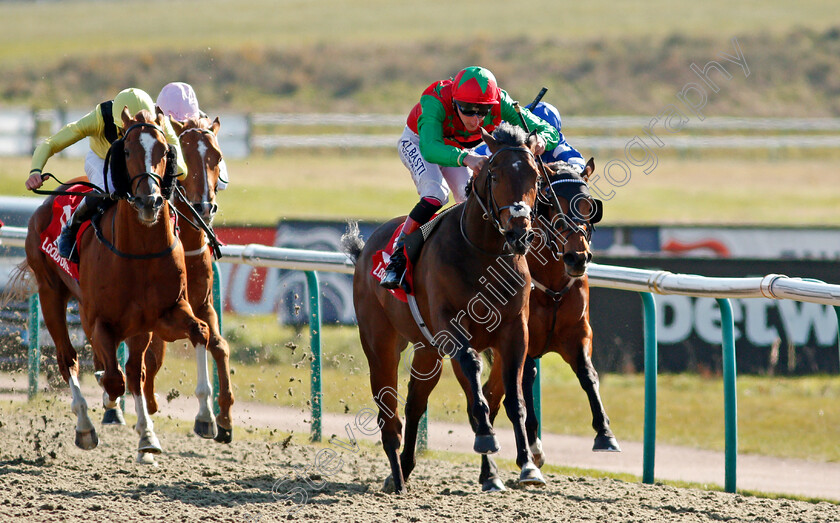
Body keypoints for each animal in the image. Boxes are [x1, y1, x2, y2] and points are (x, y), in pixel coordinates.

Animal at [13, 108, 210, 460]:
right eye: (127, 151)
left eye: (165, 151)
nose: (149, 201)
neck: (139, 252)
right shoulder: (99, 319)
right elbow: (113, 378)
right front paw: (106, 400)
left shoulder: (163, 314)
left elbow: (198, 332)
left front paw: (203, 419)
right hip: (51, 292)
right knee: (68, 358)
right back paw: (85, 426)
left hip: (131, 323)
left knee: (132, 371)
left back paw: (146, 434)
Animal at [342, 124, 544, 496]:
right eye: (494, 175)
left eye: (535, 175)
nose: (518, 232)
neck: (483, 252)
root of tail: (364, 252)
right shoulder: (452, 328)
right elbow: (475, 378)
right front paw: (486, 440)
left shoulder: (515, 331)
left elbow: (512, 396)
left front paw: (525, 464)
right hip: (380, 343)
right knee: (388, 412)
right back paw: (397, 475)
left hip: (428, 350)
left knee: (414, 402)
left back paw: (408, 468)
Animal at [456, 159, 620, 492]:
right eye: (551, 206)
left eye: (589, 207)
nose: (577, 257)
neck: (553, 282)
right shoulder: (522, 339)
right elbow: (526, 381)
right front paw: (533, 450)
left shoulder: (578, 333)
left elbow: (588, 375)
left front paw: (605, 433)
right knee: (489, 398)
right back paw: (491, 465)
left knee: (491, 397)